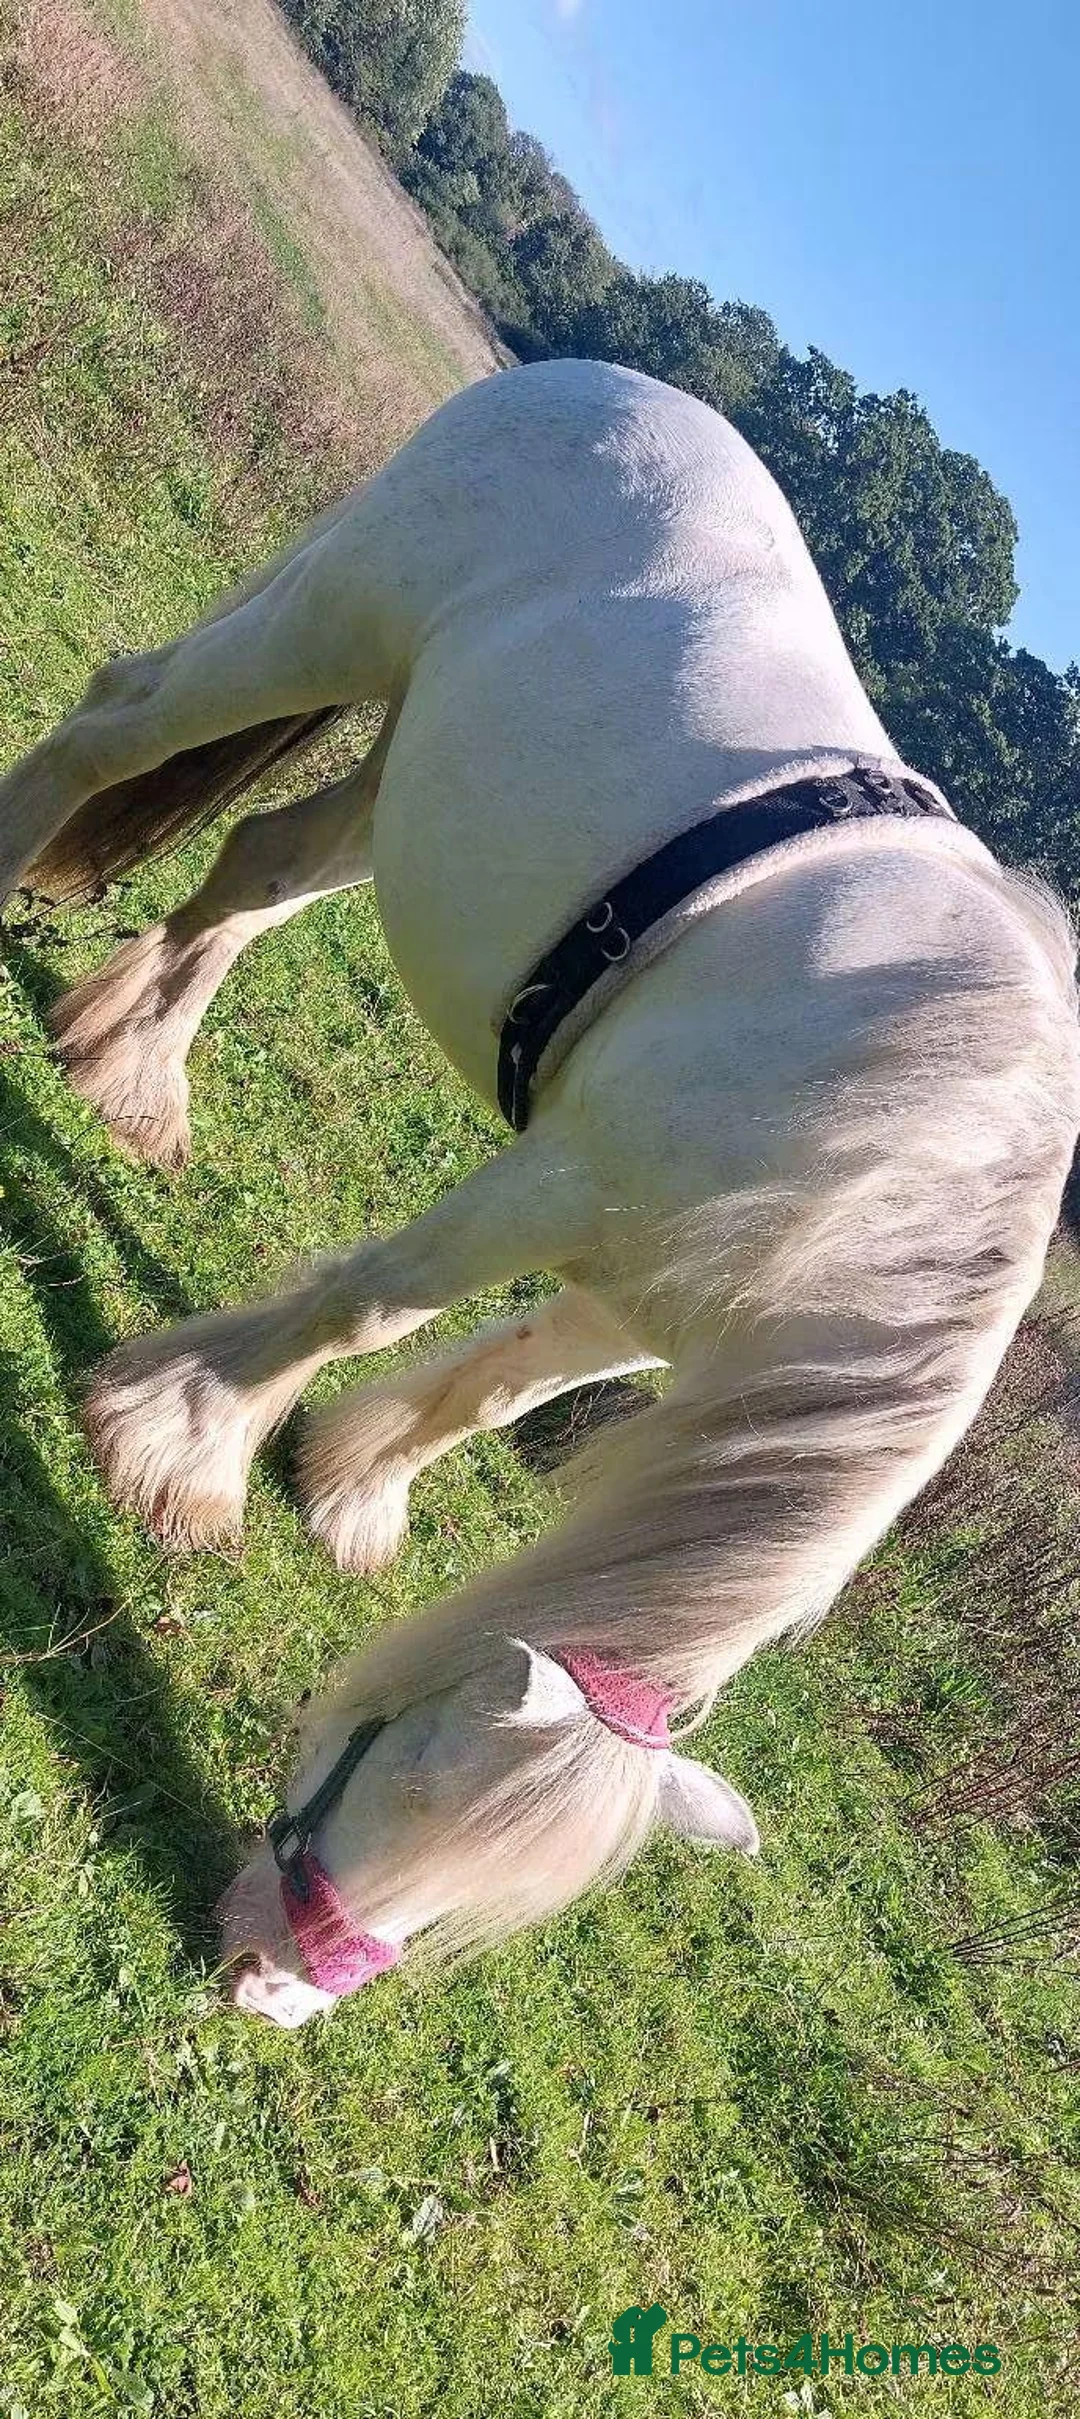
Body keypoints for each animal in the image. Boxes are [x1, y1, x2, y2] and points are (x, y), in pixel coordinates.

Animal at [3, 359, 1077, 2029]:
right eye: (409, 1766)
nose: (270, 1987)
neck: (895, 1166)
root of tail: (599, 377)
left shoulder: (638, 1306)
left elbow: (492, 1391)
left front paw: (353, 1486)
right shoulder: (552, 1185)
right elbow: (372, 1303)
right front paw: (185, 1448)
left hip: (409, 766)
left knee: (262, 864)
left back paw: (136, 1073)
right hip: (320, 626)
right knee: (118, 726)